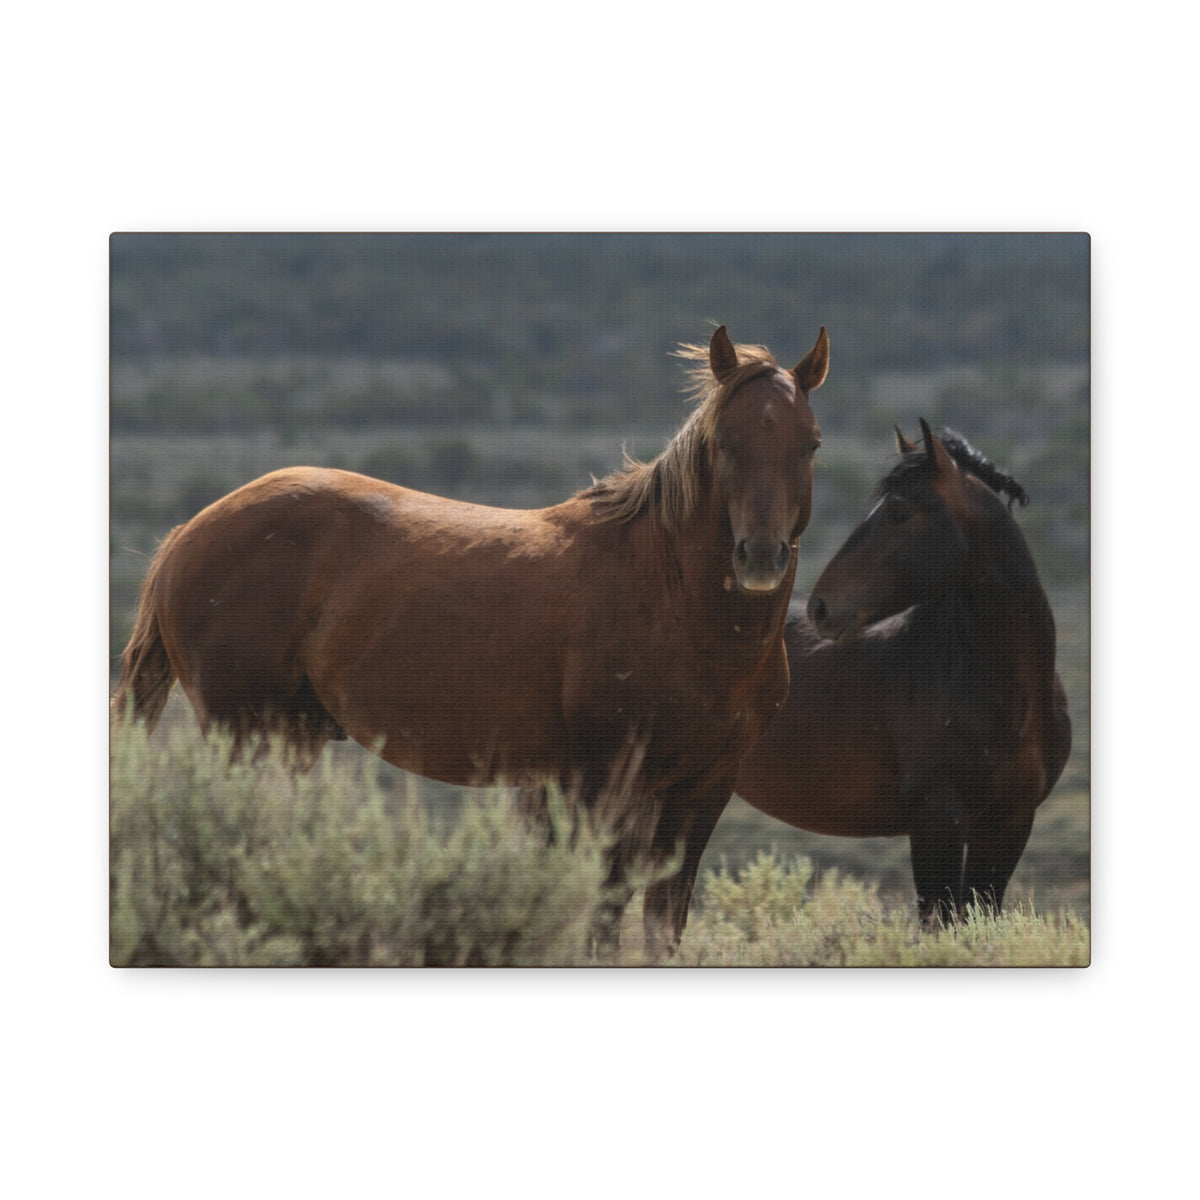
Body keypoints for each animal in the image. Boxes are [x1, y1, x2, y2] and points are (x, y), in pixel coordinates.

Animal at [112, 324, 830, 955]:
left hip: (290, 739)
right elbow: (601, 915)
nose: (759, 556)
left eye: (811, 444)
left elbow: (661, 925)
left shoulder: (702, 789)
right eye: (724, 442)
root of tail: (186, 534)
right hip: (245, 735)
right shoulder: (607, 782)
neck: (674, 598)